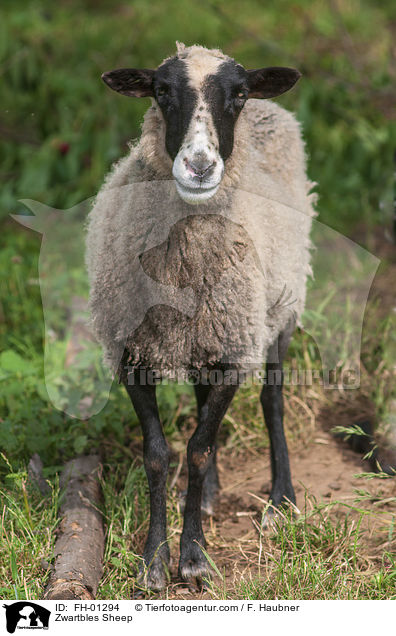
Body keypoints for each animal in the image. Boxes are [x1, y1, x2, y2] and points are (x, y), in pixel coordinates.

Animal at [86, 42, 316, 588]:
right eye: (160, 90)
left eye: (240, 93)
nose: (198, 166)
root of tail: (276, 113)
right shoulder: (132, 353)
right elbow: (158, 454)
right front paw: (154, 561)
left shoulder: (234, 350)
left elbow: (199, 448)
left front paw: (193, 558)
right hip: (206, 334)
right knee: (198, 393)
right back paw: (209, 494)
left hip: (277, 307)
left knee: (272, 401)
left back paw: (280, 501)